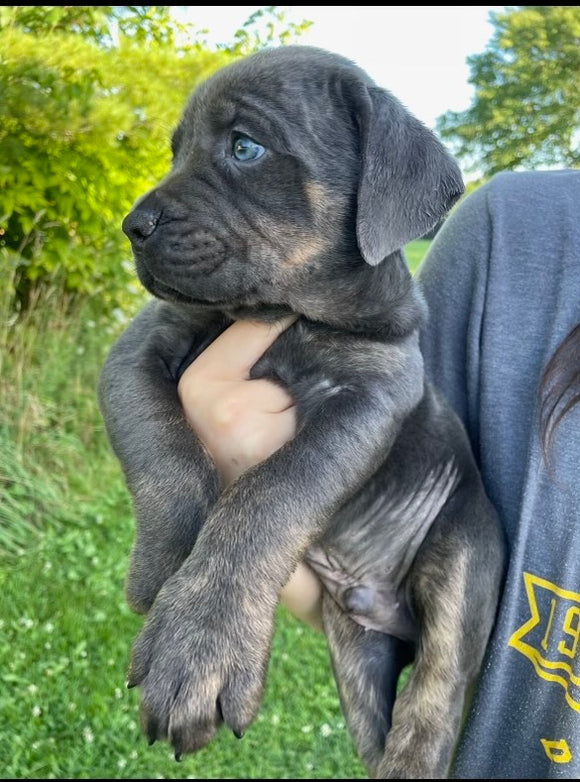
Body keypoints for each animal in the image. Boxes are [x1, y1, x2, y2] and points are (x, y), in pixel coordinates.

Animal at [99, 46, 508, 780]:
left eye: (245, 147)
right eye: (176, 151)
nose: (132, 226)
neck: (286, 315)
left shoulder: (371, 399)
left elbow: (272, 492)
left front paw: (201, 639)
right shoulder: (135, 354)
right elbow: (164, 456)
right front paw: (163, 564)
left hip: (464, 553)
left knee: (435, 693)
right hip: (357, 664)